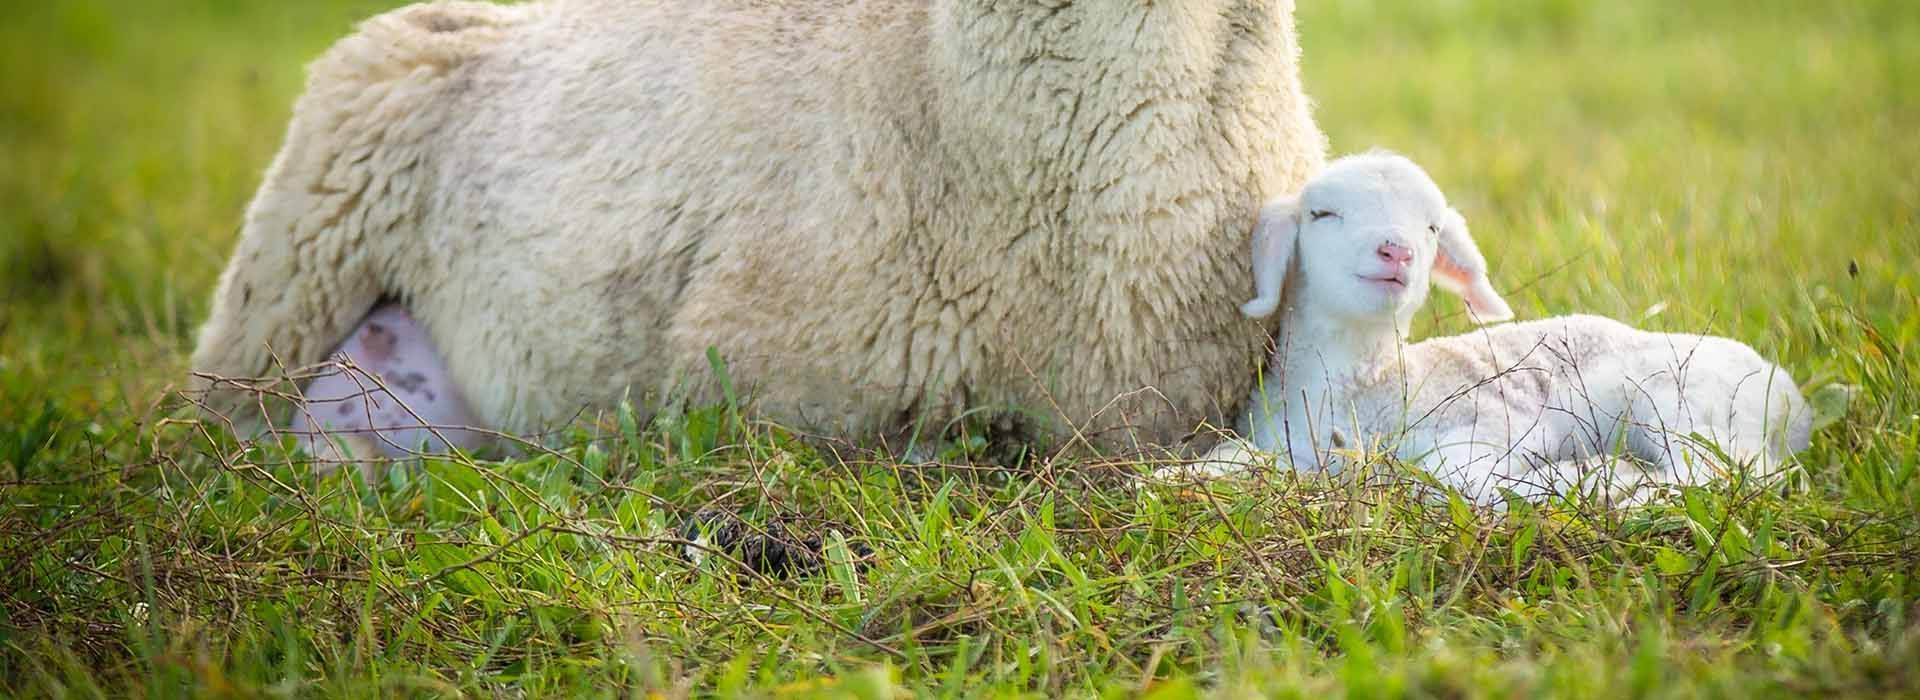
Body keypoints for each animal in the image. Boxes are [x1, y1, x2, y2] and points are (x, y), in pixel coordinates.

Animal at [1210, 151, 1810, 503]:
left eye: (1432, 228)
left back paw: (1613, 481)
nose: (1397, 251)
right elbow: (1226, 463)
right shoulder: (1280, 444)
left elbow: (1454, 472)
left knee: (1726, 474)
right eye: (1322, 214)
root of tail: (1789, 395)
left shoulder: (1485, 424)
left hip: (1682, 403)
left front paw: (1550, 477)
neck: (1367, 382)